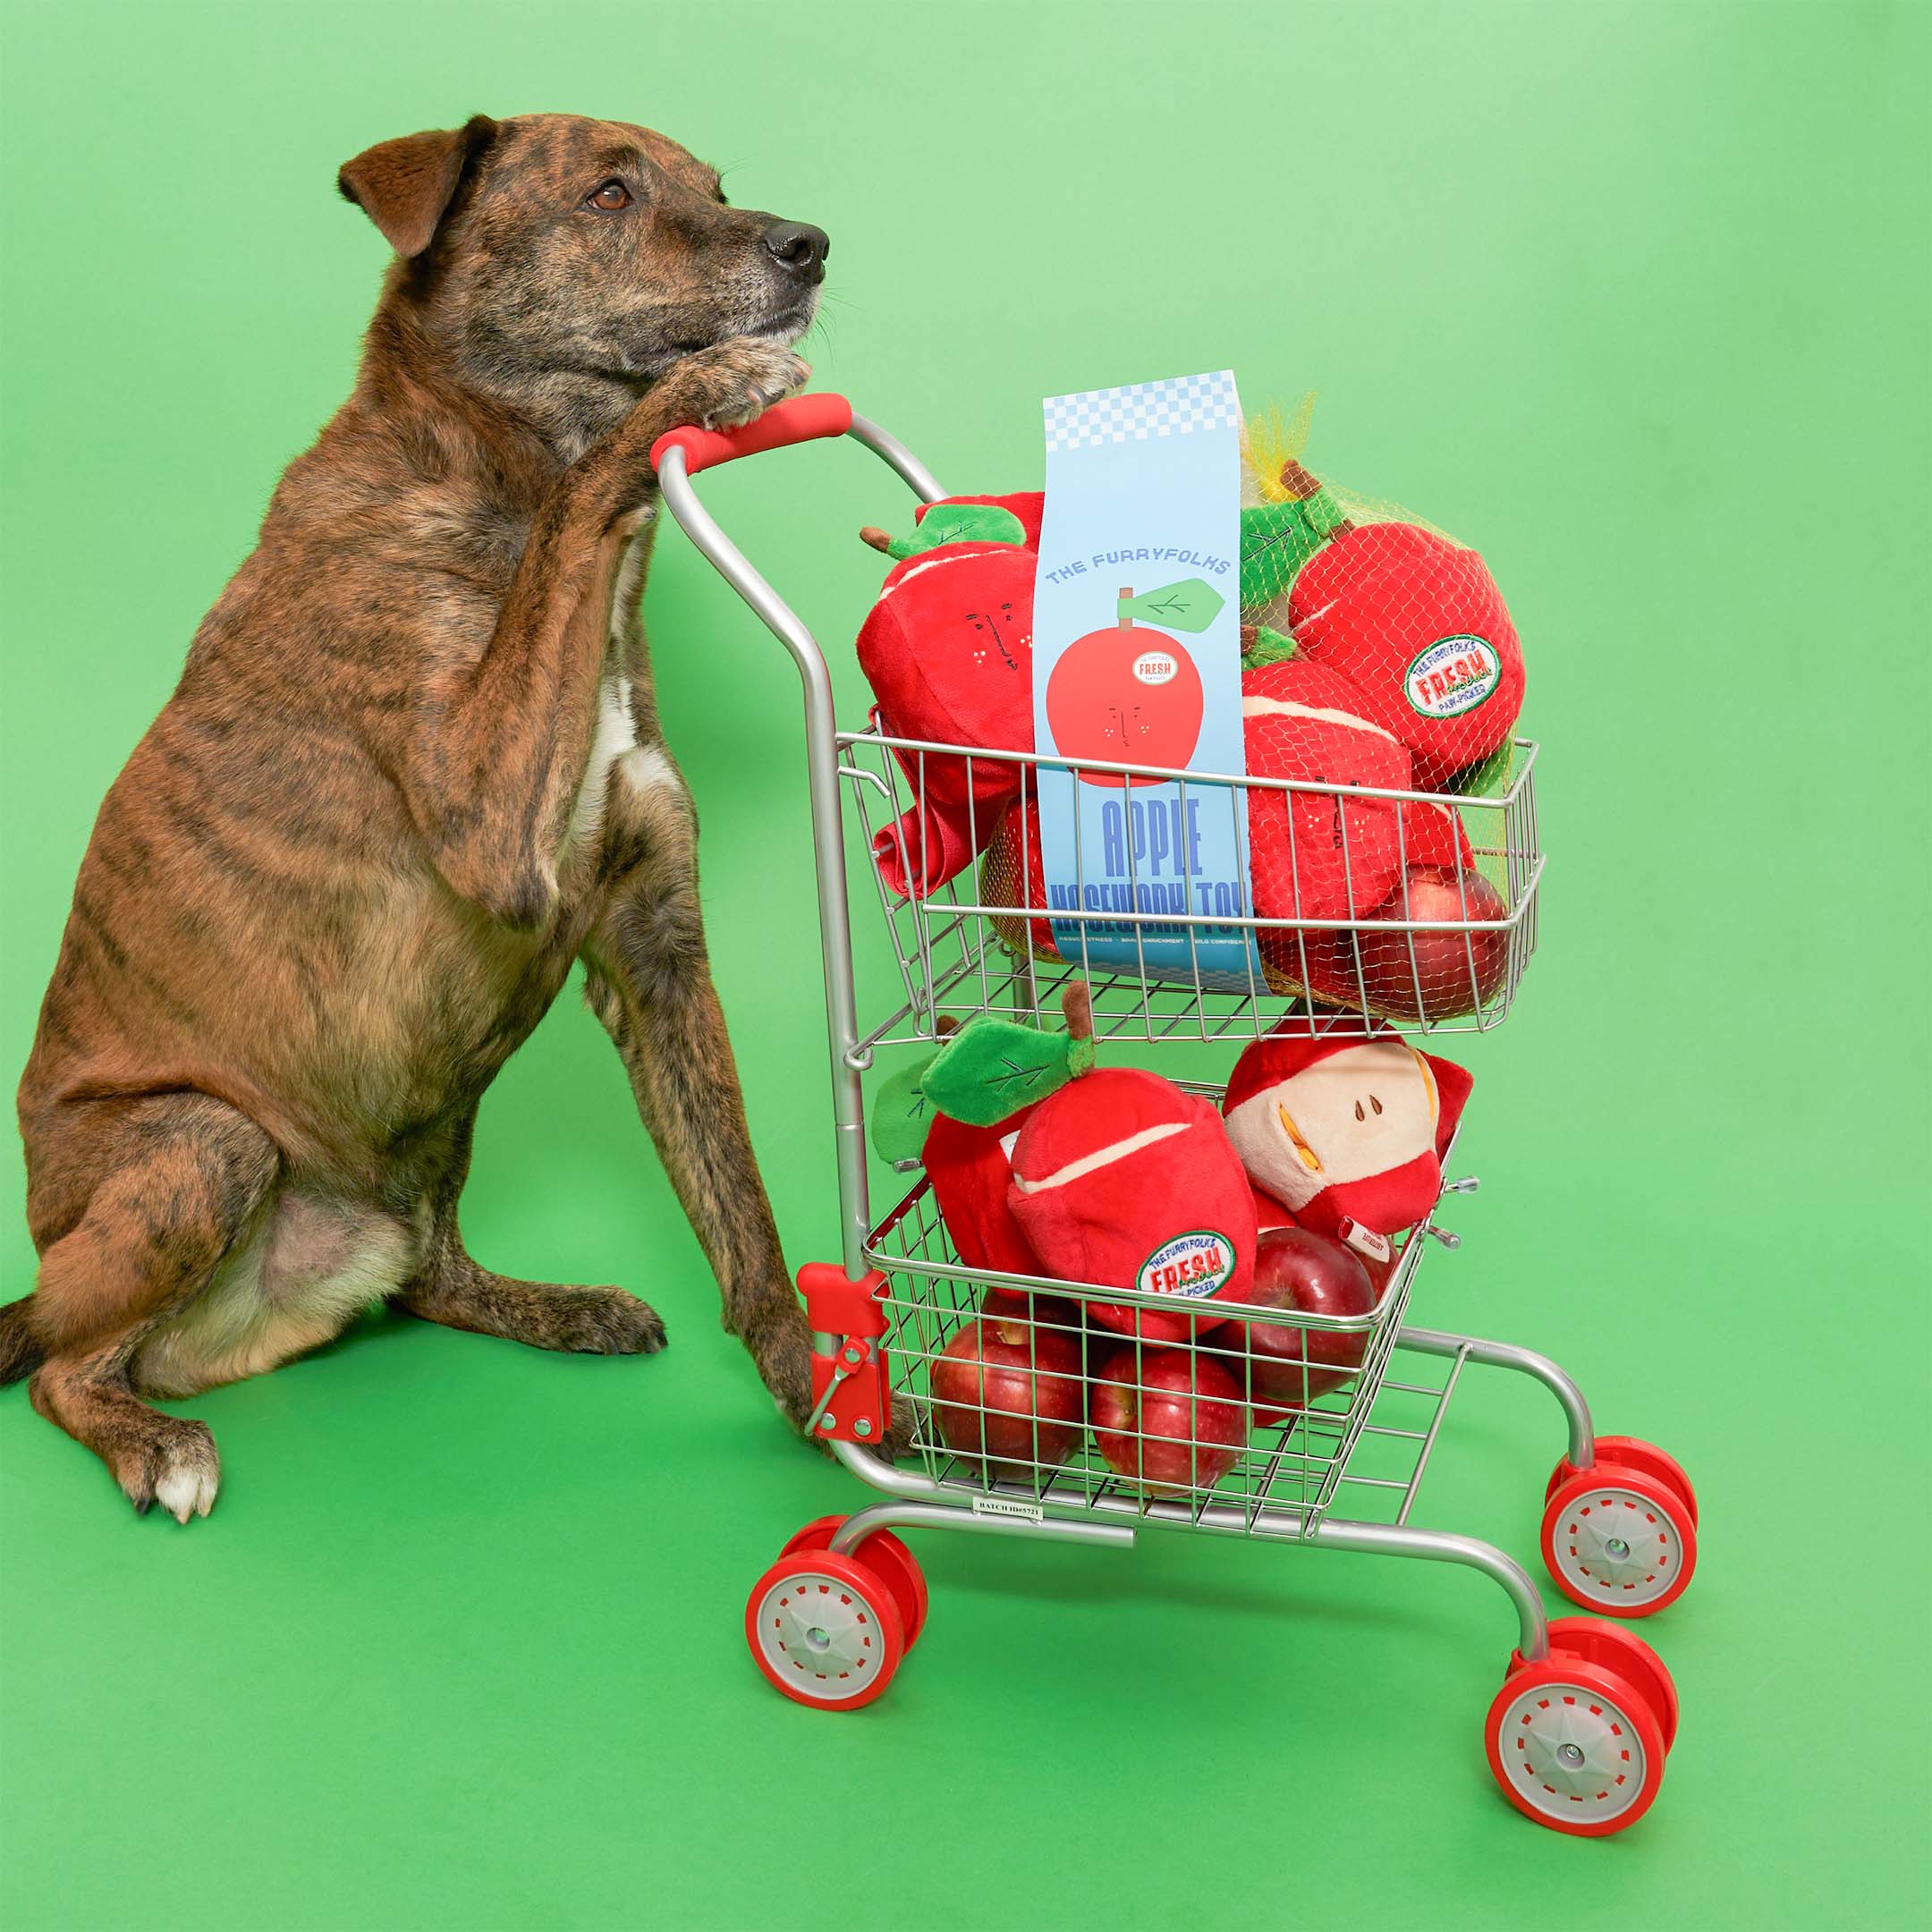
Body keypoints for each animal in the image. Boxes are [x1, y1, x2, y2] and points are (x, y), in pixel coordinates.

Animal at [2, 113, 846, 1522]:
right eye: (609, 195)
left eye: (716, 186)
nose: (810, 243)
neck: (484, 476)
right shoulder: (491, 816)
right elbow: (592, 491)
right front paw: (690, 399)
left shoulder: (657, 947)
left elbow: (742, 1208)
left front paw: (823, 1392)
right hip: (204, 1140)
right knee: (66, 1369)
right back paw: (152, 1441)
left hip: (434, 1122)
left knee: (429, 1276)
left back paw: (548, 1306)